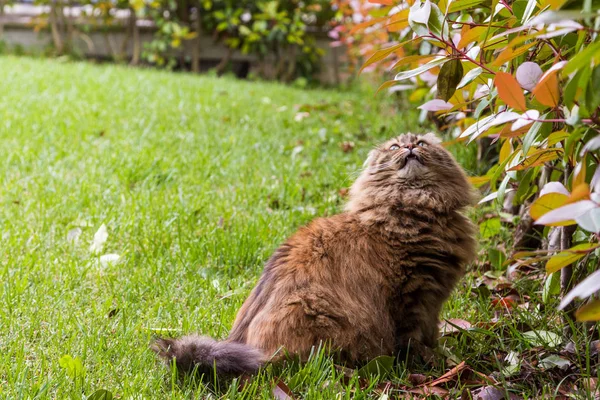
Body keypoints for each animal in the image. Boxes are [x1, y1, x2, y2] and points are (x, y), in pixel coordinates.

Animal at [154, 133, 478, 380]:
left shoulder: (432, 300)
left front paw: (440, 355)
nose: (410, 146)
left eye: (421, 142)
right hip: (316, 313)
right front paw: (426, 364)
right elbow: (411, 341)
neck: (412, 208)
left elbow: (431, 334)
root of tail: (249, 350)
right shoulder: (412, 296)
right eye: (395, 147)